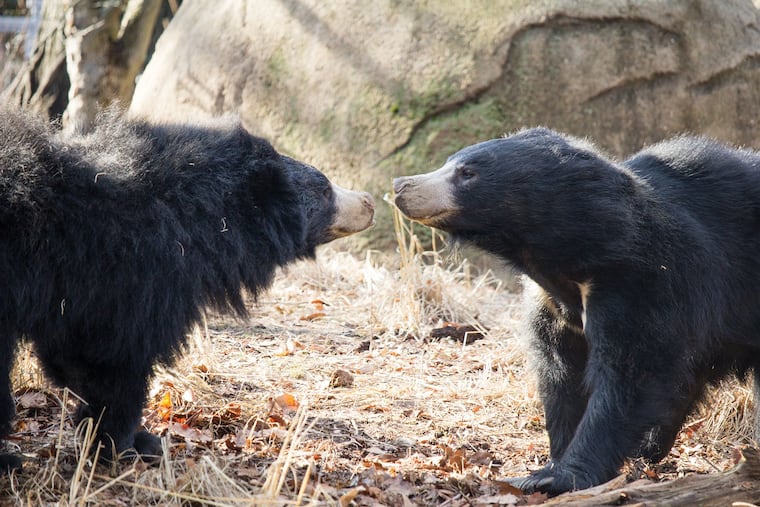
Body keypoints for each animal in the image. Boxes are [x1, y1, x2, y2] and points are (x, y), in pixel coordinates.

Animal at [0, 108, 375, 470]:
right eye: (325, 190)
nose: (369, 202)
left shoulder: (84, 289)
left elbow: (74, 354)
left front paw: (127, 439)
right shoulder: (134, 271)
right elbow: (114, 359)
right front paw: (126, 446)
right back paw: (11, 461)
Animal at [392, 127, 760, 495]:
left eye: (467, 173)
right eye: (449, 162)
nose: (400, 185)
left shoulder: (643, 281)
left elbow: (632, 372)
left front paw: (555, 477)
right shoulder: (553, 306)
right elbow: (561, 373)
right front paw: (552, 464)